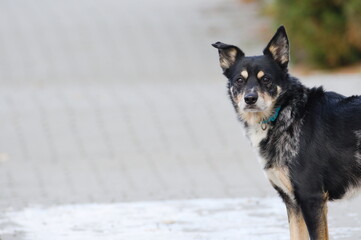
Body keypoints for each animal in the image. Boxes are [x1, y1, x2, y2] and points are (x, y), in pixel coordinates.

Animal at [211, 25, 360, 239]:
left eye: (266, 79)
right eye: (239, 80)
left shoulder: (311, 197)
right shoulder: (292, 201)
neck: (286, 114)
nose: (250, 98)